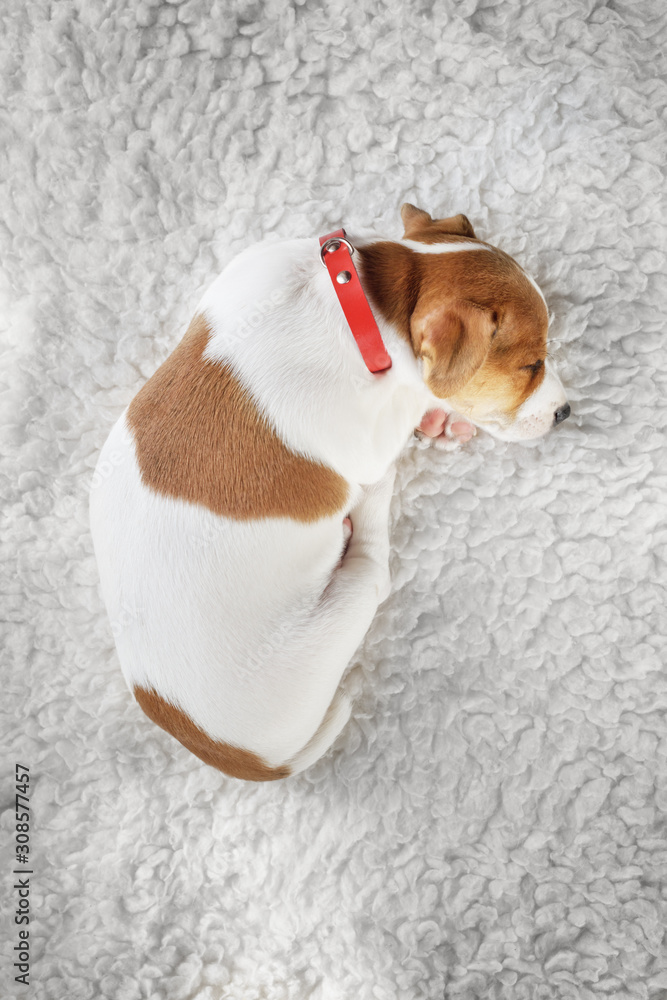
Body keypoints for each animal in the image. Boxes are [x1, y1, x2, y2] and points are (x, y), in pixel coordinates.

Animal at [88, 203, 568, 780]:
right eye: (531, 365)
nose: (566, 412)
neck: (360, 300)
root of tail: (236, 756)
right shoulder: (369, 439)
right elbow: (413, 404)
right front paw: (439, 413)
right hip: (347, 601)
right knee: (373, 566)